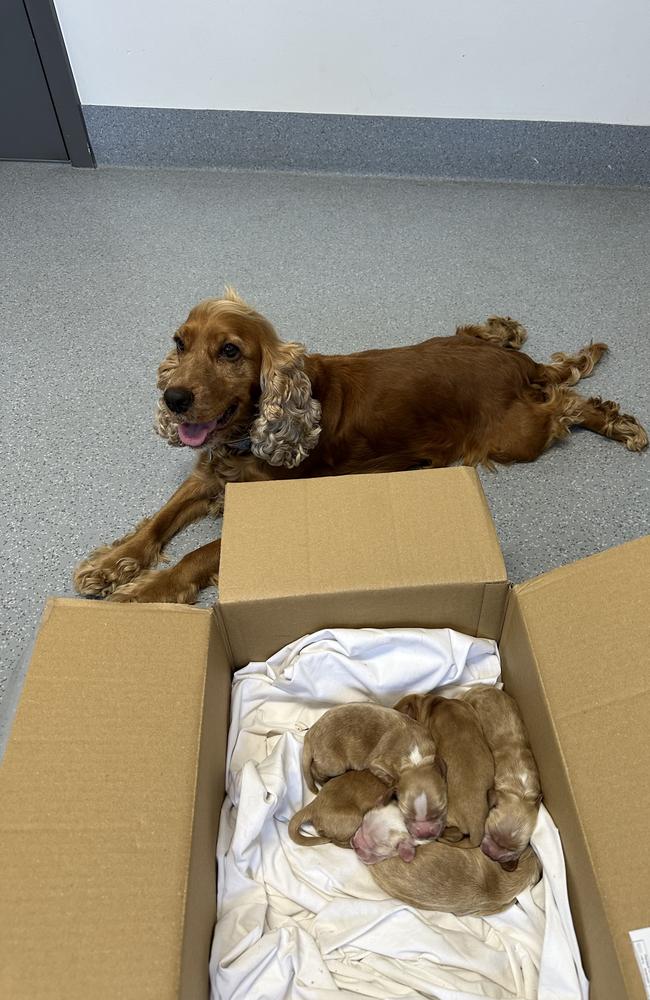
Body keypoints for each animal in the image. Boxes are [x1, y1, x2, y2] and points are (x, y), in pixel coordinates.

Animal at [74, 286, 644, 604]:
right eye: (179, 343)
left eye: (230, 351)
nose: (172, 398)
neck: (249, 433)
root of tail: (517, 367)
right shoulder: (207, 474)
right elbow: (156, 524)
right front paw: (111, 565)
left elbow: (196, 554)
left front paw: (145, 591)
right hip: (471, 350)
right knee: (505, 345)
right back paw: (504, 326)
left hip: (515, 435)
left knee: (565, 402)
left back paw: (618, 422)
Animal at [302, 704, 446, 844]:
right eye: (405, 814)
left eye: (441, 809)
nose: (425, 835)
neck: (416, 762)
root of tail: (310, 733)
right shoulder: (377, 763)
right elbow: (390, 777)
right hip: (335, 765)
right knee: (316, 771)